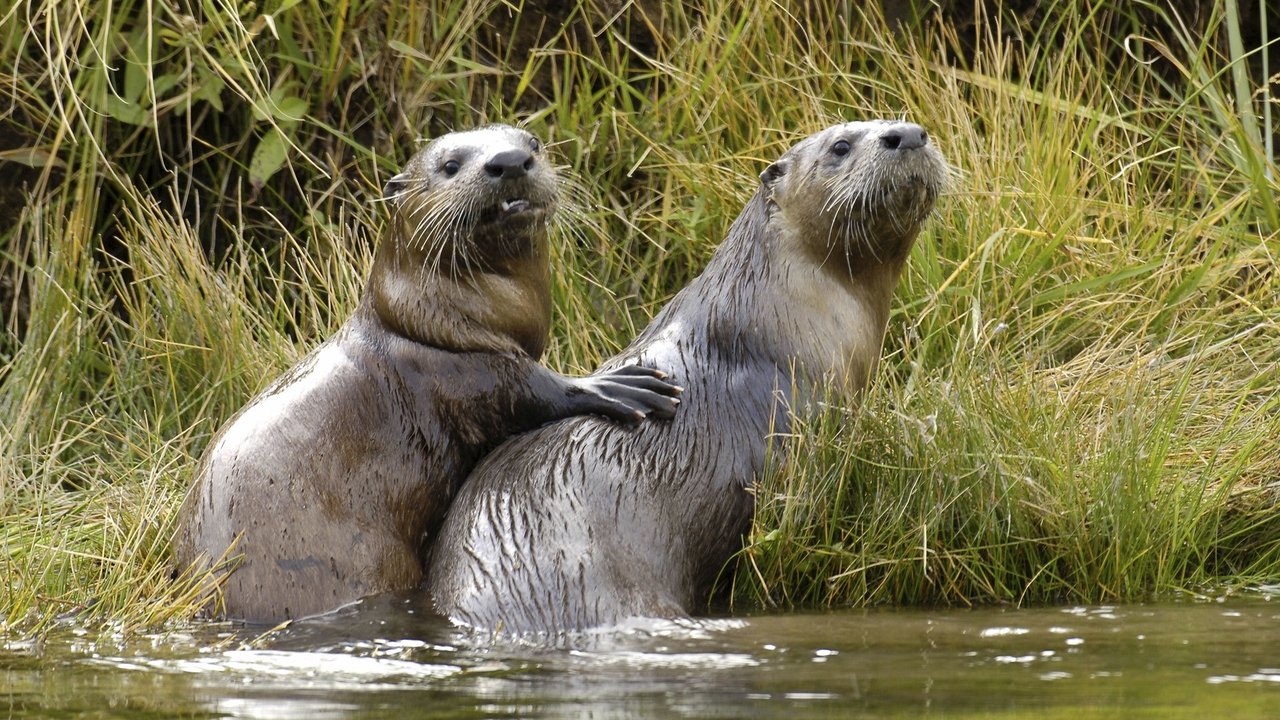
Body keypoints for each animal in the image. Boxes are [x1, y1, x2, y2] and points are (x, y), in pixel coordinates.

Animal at [177, 120, 691, 620]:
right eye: (449, 165)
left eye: (533, 142)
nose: (509, 161)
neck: (431, 321)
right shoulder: (459, 371)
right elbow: (531, 392)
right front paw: (615, 385)